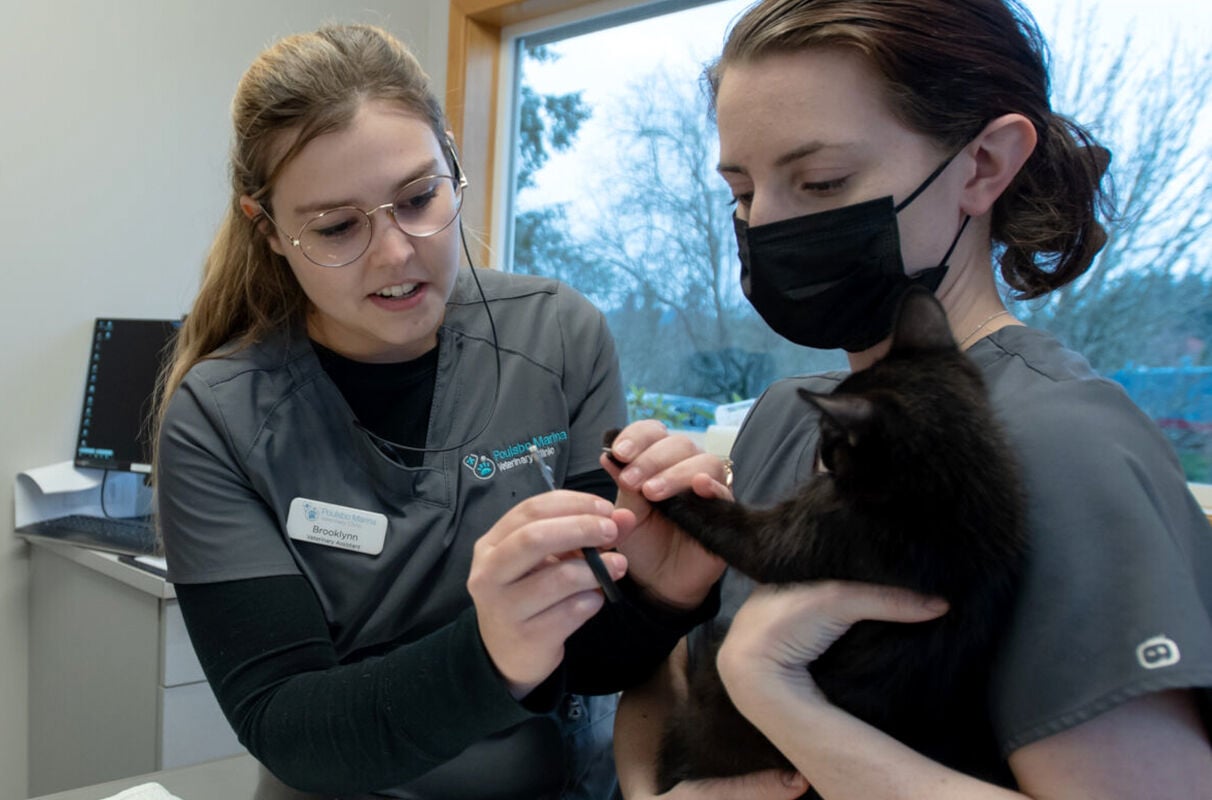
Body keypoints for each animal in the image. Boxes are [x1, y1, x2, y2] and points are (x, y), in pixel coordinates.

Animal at [610, 287, 1027, 795]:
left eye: (833, 436)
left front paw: (642, 465)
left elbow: (736, 531)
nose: (822, 455)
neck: (957, 483)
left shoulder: (823, 533)